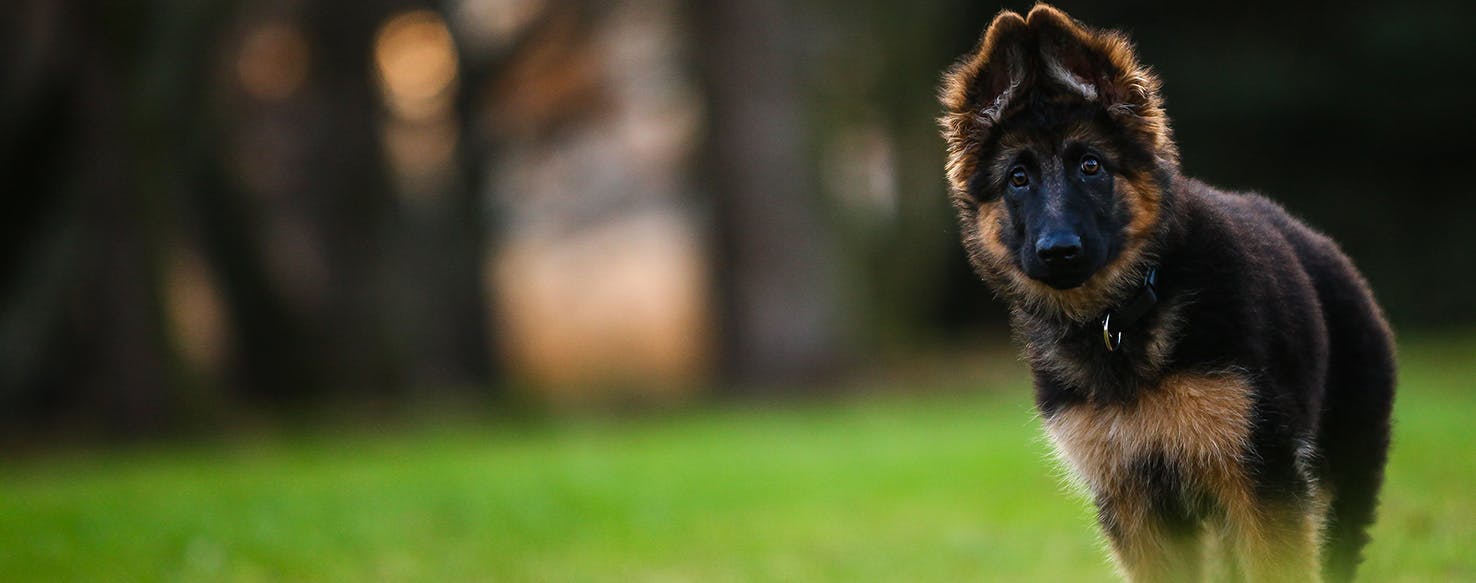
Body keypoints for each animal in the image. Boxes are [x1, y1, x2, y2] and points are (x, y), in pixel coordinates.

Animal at [938, 5, 1399, 583]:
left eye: (1091, 166)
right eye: (1018, 179)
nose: (1059, 251)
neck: (1120, 321)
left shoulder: (1262, 478)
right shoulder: (1134, 501)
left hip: (1338, 481)